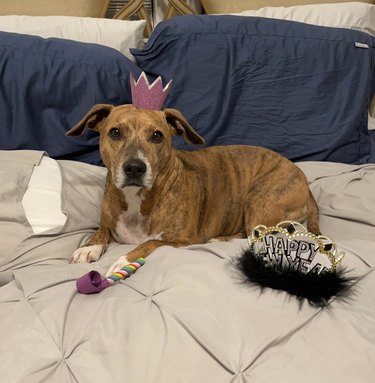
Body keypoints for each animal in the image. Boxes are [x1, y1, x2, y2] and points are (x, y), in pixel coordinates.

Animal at [65, 103, 320, 274]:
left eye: (157, 136)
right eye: (115, 132)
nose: (135, 168)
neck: (138, 199)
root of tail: (307, 188)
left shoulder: (184, 241)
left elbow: (151, 242)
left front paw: (125, 260)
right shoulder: (110, 221)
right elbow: (102, 229)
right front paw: (89, 247)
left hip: (259, 199)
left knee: (252, 236)